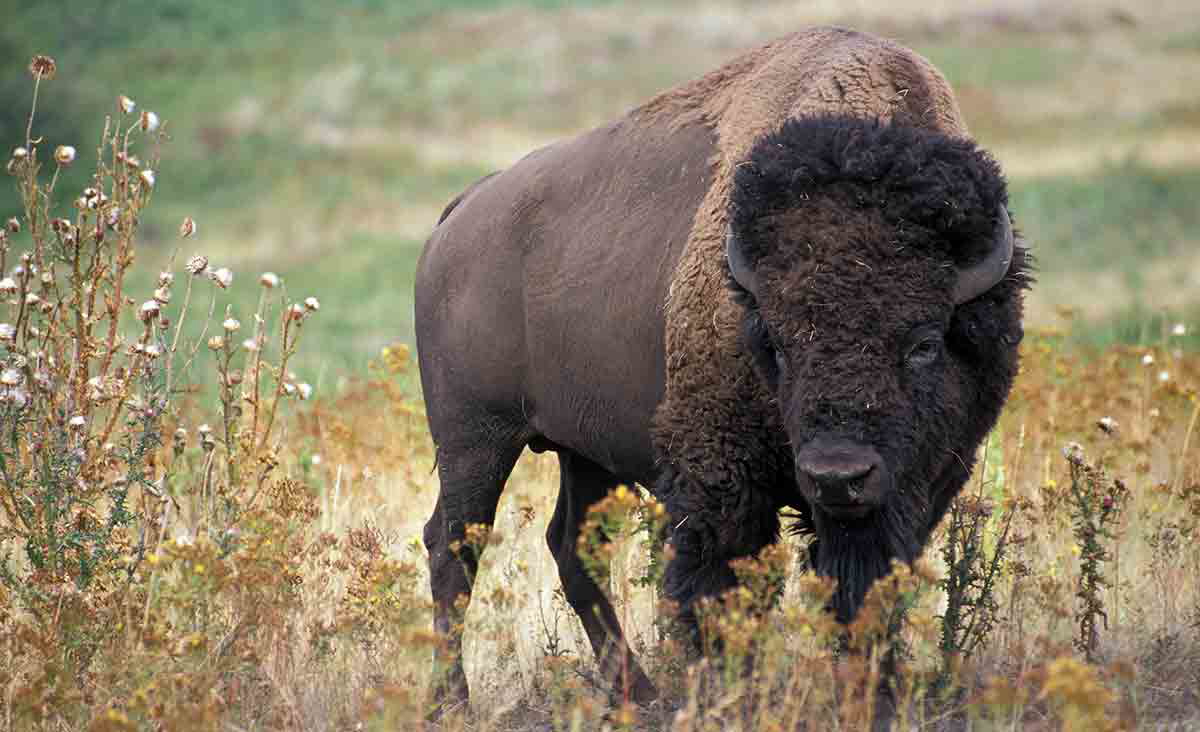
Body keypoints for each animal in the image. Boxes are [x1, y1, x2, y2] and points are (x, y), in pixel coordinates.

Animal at [415, 26, 1029, 708]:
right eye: (777, 345)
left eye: (924, 342)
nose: (837, 476)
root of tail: (462, 212)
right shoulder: (721, 480)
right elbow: (720, 590)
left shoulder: (917, 486)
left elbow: (866, 592)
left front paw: (873, 694)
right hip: (475, 439)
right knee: (453, 545)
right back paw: (453, 700)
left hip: (585, 451)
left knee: (571, 546)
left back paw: (639, 694)